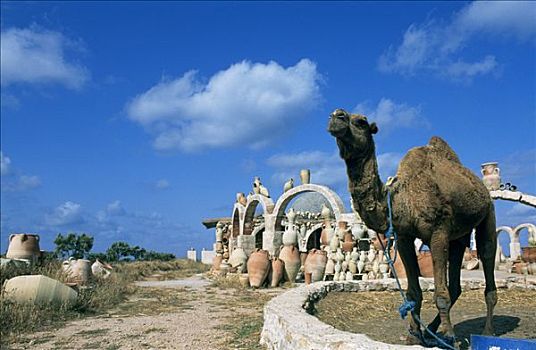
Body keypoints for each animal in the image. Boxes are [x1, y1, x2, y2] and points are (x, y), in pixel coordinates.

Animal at [326, 108, 498, 344]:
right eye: (334, 115)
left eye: (361, 122)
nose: (337, 116)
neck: (402, 200)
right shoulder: (404, 237)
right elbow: (414, 292)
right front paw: (414, 336)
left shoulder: (438, 232)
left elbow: (440, 293)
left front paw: (450, 337)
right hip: (458, 237)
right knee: (455, 284)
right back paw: (432, 330)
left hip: (488, 212)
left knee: (487, 254)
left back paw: (486, 331)